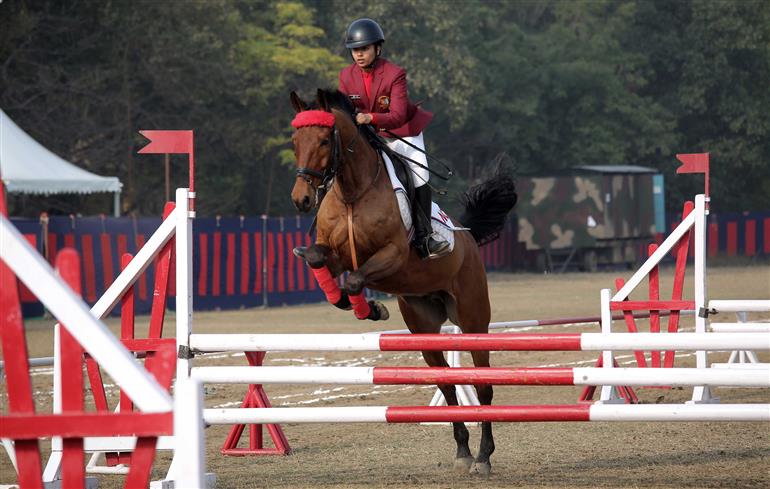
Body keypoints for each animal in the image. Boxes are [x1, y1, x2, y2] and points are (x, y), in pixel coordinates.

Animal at [286, 88, 516, 476]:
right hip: (424, 325)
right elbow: (320, 262)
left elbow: (355, 280)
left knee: (484, 386)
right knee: (447, 384)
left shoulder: (390, 255)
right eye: (294, 141)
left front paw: (372, 308)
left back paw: (483, 457)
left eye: (323, 140)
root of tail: (467, 235)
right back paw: (463, 451)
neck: (352, 192)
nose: (301, 200)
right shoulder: (335, 255)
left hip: (473, 318)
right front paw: (358, 305)